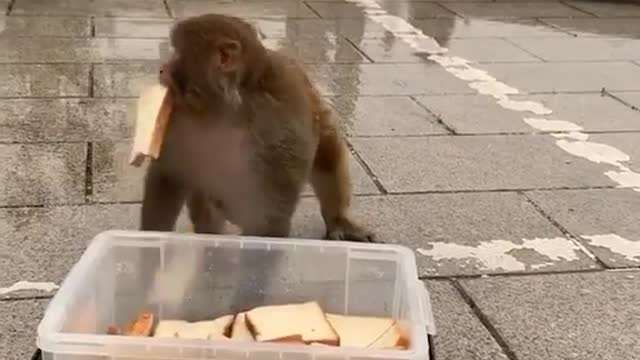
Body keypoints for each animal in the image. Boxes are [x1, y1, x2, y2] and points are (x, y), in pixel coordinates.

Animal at [138, 14, 372, 243]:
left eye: (177, 54)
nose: (162, 67)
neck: (225, 113)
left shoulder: (278, 129)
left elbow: (271, 213)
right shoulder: (179, 116)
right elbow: (169, 175)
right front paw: (150, 241)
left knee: (328, 153)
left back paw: (338, 220)